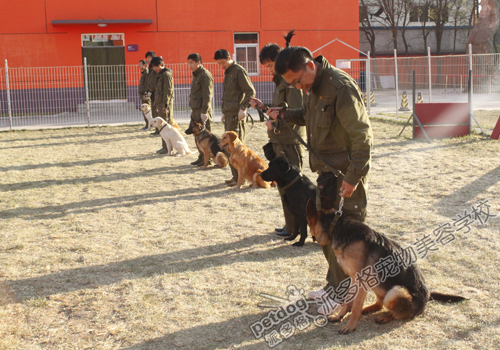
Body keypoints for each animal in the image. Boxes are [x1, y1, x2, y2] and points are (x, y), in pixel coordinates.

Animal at [306, 196, 466, 334]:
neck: (336, 225)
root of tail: (427, 296)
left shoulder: (361, 282)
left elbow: (356, 306)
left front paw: (350, 326)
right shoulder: (353, 279)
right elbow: (347, 301)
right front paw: (340, 316)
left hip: (394, 291)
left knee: (398, 313)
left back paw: (384, 317)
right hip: (378, 283)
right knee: (380, 303)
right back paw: (368, 309)